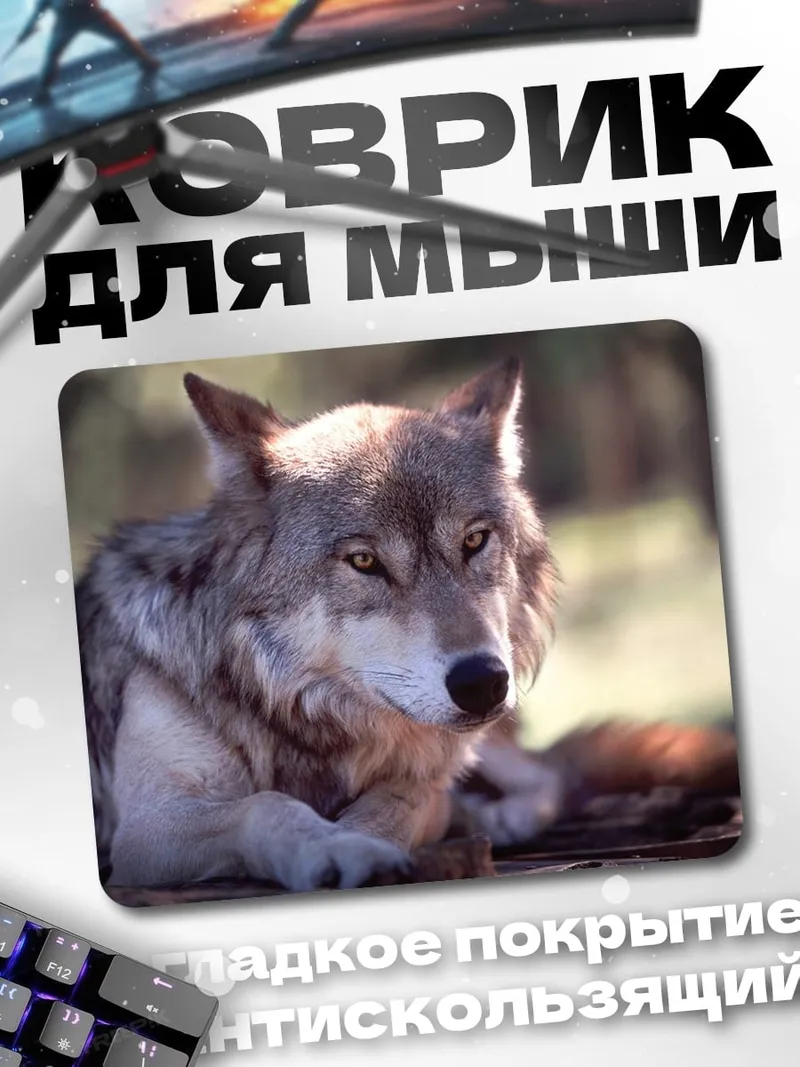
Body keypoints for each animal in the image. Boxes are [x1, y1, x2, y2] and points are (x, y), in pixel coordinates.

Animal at [76, 357, 573, 893]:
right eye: (364, 561)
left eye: (475, 540)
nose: (482, 682)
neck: (290, 709)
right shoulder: (146, 829)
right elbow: (264, 805)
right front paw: (335, 846)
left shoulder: (426, 783)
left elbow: (399, 801)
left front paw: (362, 838)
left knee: (547, 774)